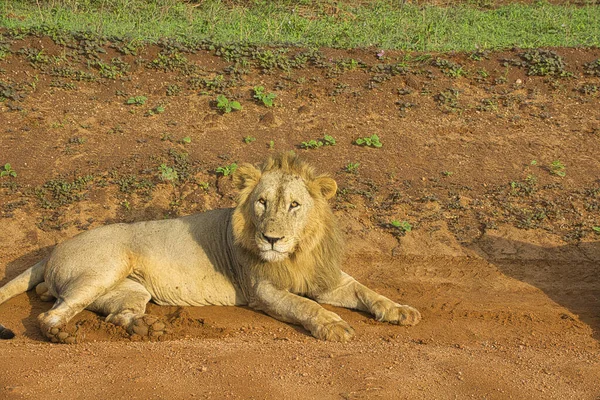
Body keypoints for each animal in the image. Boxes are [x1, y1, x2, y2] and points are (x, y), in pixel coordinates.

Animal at [0, 153, 422, 344]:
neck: (297, 251)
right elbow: (305, 305)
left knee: (115, 315)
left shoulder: (328, 277)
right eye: (262, 203)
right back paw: (60, 333)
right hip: (103, 268)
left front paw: (401, 311)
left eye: (294, 205)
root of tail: (54, 248)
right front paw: (333, 325)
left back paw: (147, 327)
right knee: (50, 313)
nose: (271, 239)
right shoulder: (263, 291)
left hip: (130, 291)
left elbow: (367, 291)